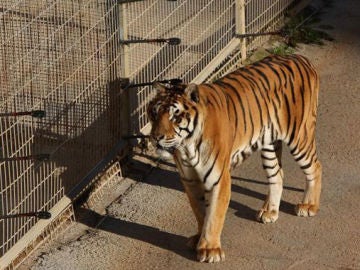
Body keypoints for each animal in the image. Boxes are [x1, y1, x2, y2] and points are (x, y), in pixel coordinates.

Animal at [148, 53, 322, 262]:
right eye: (154, 112)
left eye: (176, 116)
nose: (156, 137)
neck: (186, 147)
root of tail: (301, 57)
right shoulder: (189, 179)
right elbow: (200, 210)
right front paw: (199, 239)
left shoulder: (218, 178)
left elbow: (214, 214)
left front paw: (210, 250)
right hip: (269, 144)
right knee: (277, 174)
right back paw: (270, 211)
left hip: (300, 135)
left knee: (316, 167)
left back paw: (309, 205)